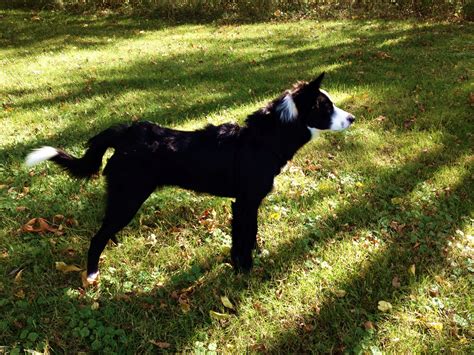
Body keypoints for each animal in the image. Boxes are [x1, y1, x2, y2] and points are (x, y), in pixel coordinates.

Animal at [25, 73, 352, 284]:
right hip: (129, 197)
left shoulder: (246, 203)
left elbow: (248, 235)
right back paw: (92, 274)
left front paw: (246, 262)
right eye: (325, 107)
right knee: (97, 236)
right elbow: (244, 239)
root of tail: (126, 132)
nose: (353, 118)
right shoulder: (244, 203)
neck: (264, 139)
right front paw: (244, 271)